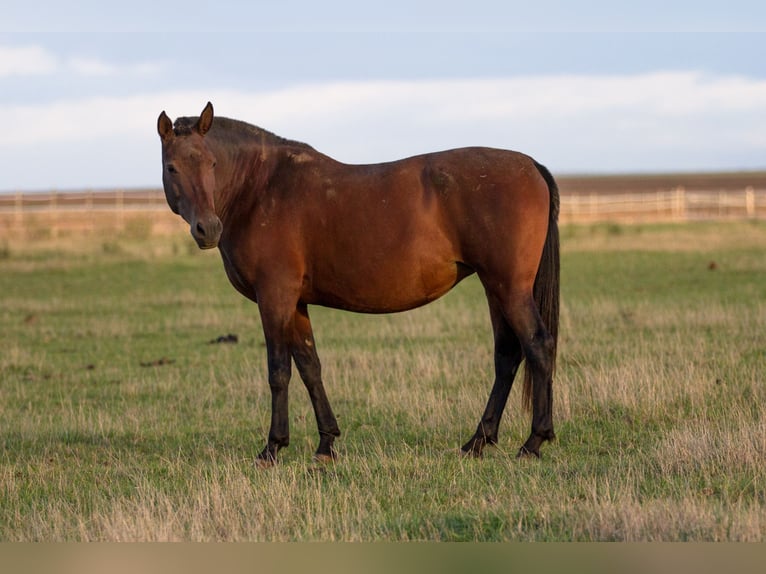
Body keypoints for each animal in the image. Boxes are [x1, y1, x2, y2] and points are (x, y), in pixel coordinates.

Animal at [158, 101, 564, 466]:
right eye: (172, 167)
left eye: (211, 164)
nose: (208, 229)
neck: (260, 189)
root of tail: (531, 166)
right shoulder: (296, 303)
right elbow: (310, 367)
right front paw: (326, 444)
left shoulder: (274, 297)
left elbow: (279, 371)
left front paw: (272, 448)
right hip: (495, 289)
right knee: (507, 355)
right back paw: (478, 441)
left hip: (509, 288)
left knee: (538, 346)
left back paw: (533, 442)